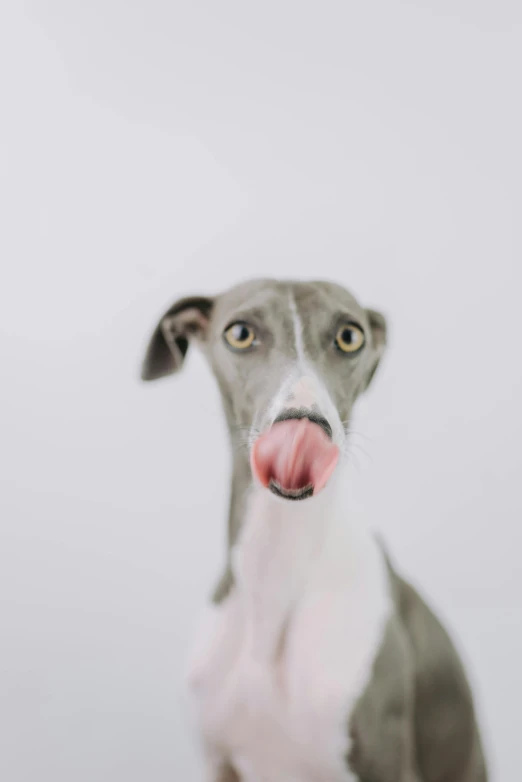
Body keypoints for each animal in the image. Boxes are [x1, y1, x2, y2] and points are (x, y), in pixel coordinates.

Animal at [140, 280, 486, 782]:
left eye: (350, 336)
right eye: (240, 333)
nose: (303, 427)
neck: (275, 577)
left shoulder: (385, 760)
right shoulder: (220, 761)